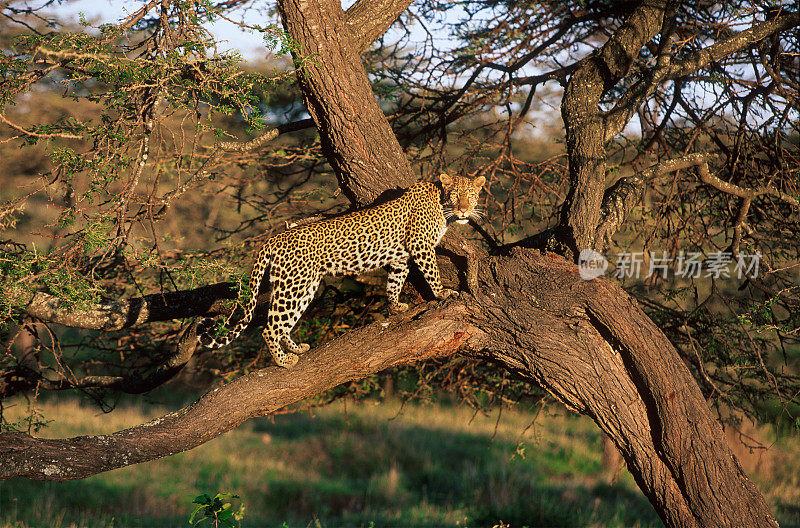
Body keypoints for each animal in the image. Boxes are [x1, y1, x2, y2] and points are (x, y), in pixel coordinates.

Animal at [198, 173, 488, 368]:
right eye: (456, 195)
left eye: (472, 195)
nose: (464, 209)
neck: (441, 204)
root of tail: (273, 238)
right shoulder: (421, 245)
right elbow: (432, 272)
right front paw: (442, 294)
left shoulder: (401, 256)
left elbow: (395, 280)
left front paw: (395, 306)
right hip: (294, 285)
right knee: (270, 327)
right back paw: (284, 361)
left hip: (304, 285)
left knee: (283, 324)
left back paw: (297, 349)